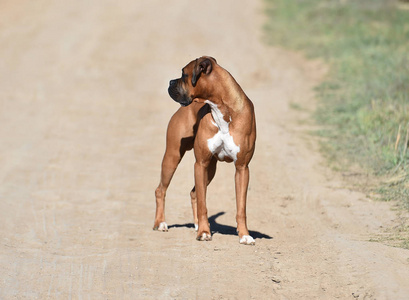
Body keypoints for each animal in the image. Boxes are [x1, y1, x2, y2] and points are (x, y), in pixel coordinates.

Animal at [153, 56, 255, 246]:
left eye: (184, 74)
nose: (171, 82)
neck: (223, 109)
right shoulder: (200, 164)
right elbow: (203, 204)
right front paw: (204, 232)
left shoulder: (242, 168)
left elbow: (241, 207)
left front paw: (244, 235)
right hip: (172, 157)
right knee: (161, 190)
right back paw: (161, 223)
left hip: (211, 169)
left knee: (193, 192)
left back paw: (196, 224)